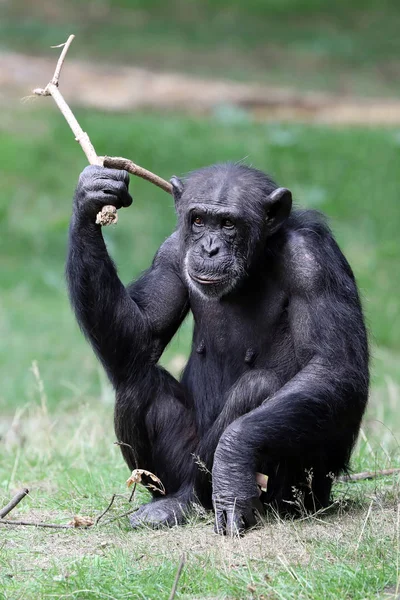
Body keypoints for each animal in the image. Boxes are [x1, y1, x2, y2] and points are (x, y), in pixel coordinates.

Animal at [65, 163, 368, 536]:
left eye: (228, 224)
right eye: (198, 220)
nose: (209, 248)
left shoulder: (313, 262)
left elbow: (332, 365)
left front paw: (232, 465)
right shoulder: (170, 252)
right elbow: (142, 335)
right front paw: (92, 196)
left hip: (303, 489)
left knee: (259, 386)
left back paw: (197, 498)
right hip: (179, 466)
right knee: (138, 383)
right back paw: (171, 502)